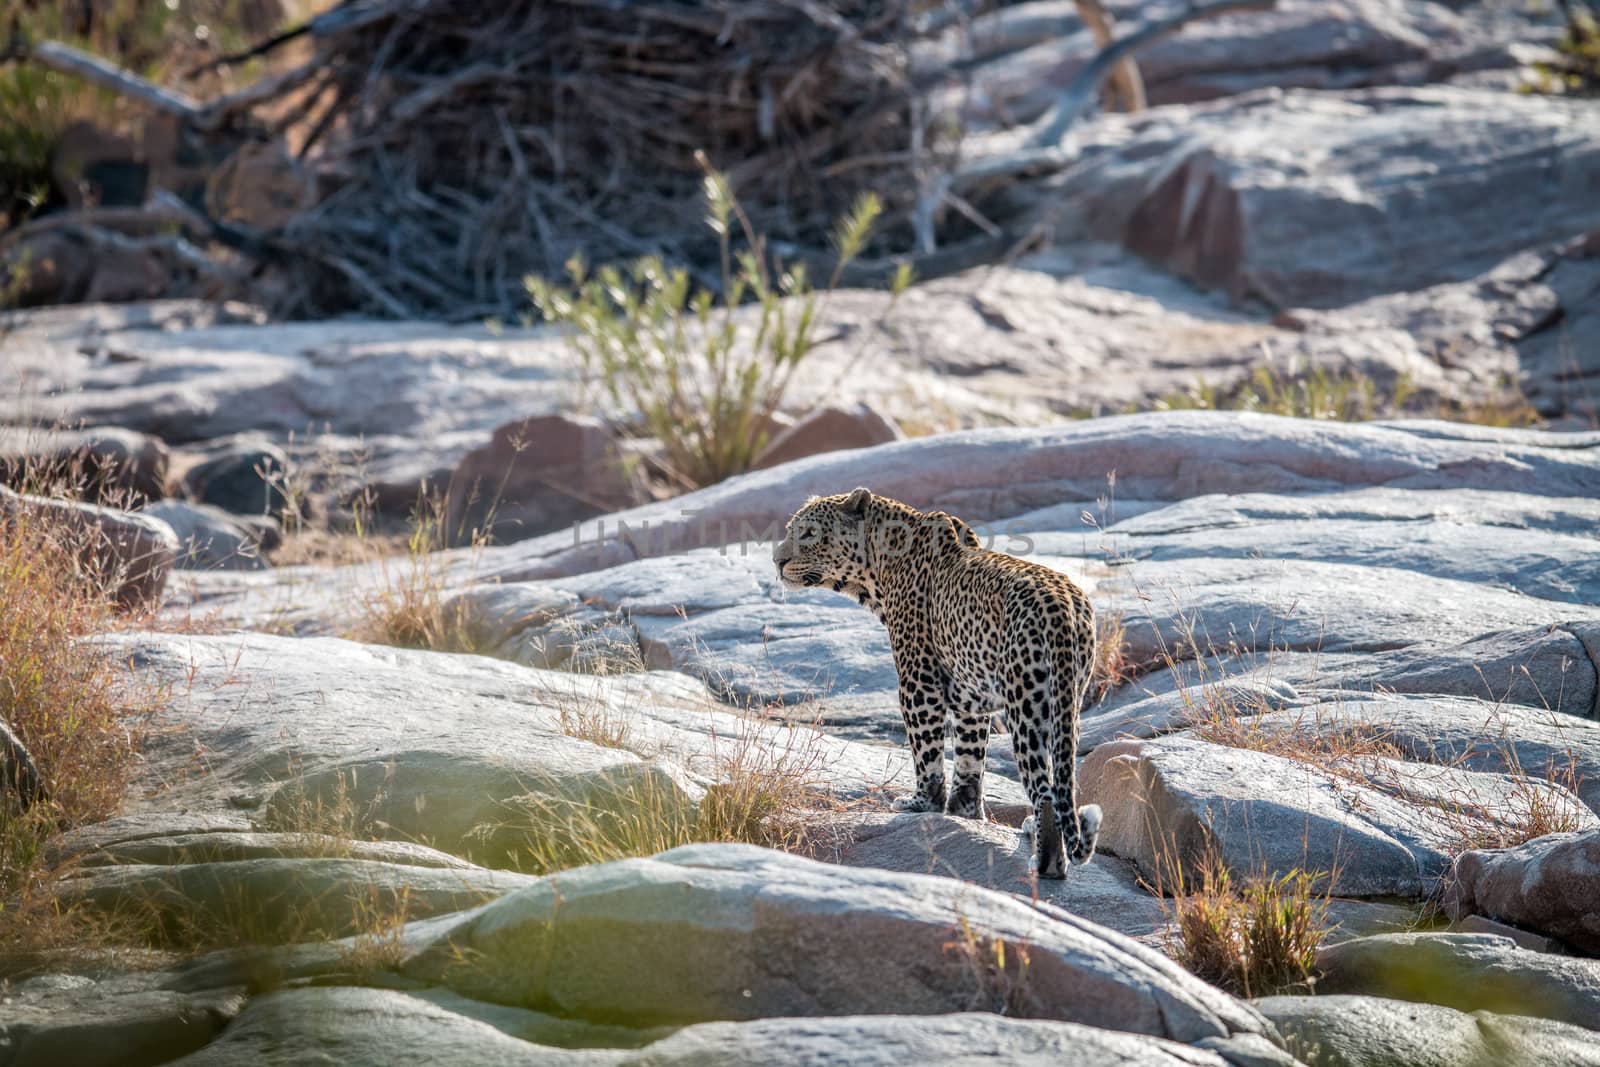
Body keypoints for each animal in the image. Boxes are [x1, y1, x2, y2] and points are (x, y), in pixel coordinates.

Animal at [774, 489, 1100, 883]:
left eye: (809, 534)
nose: (777, 560)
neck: (878, 565)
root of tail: (1062, 608)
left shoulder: (918, 680)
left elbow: (926, 750)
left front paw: (921, 803)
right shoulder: (970, 692)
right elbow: (970, 756)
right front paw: (964, 810)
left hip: (1026, 706)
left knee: (1044, 790)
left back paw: (1045, 862)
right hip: (1068, 702)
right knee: (1061, 777)